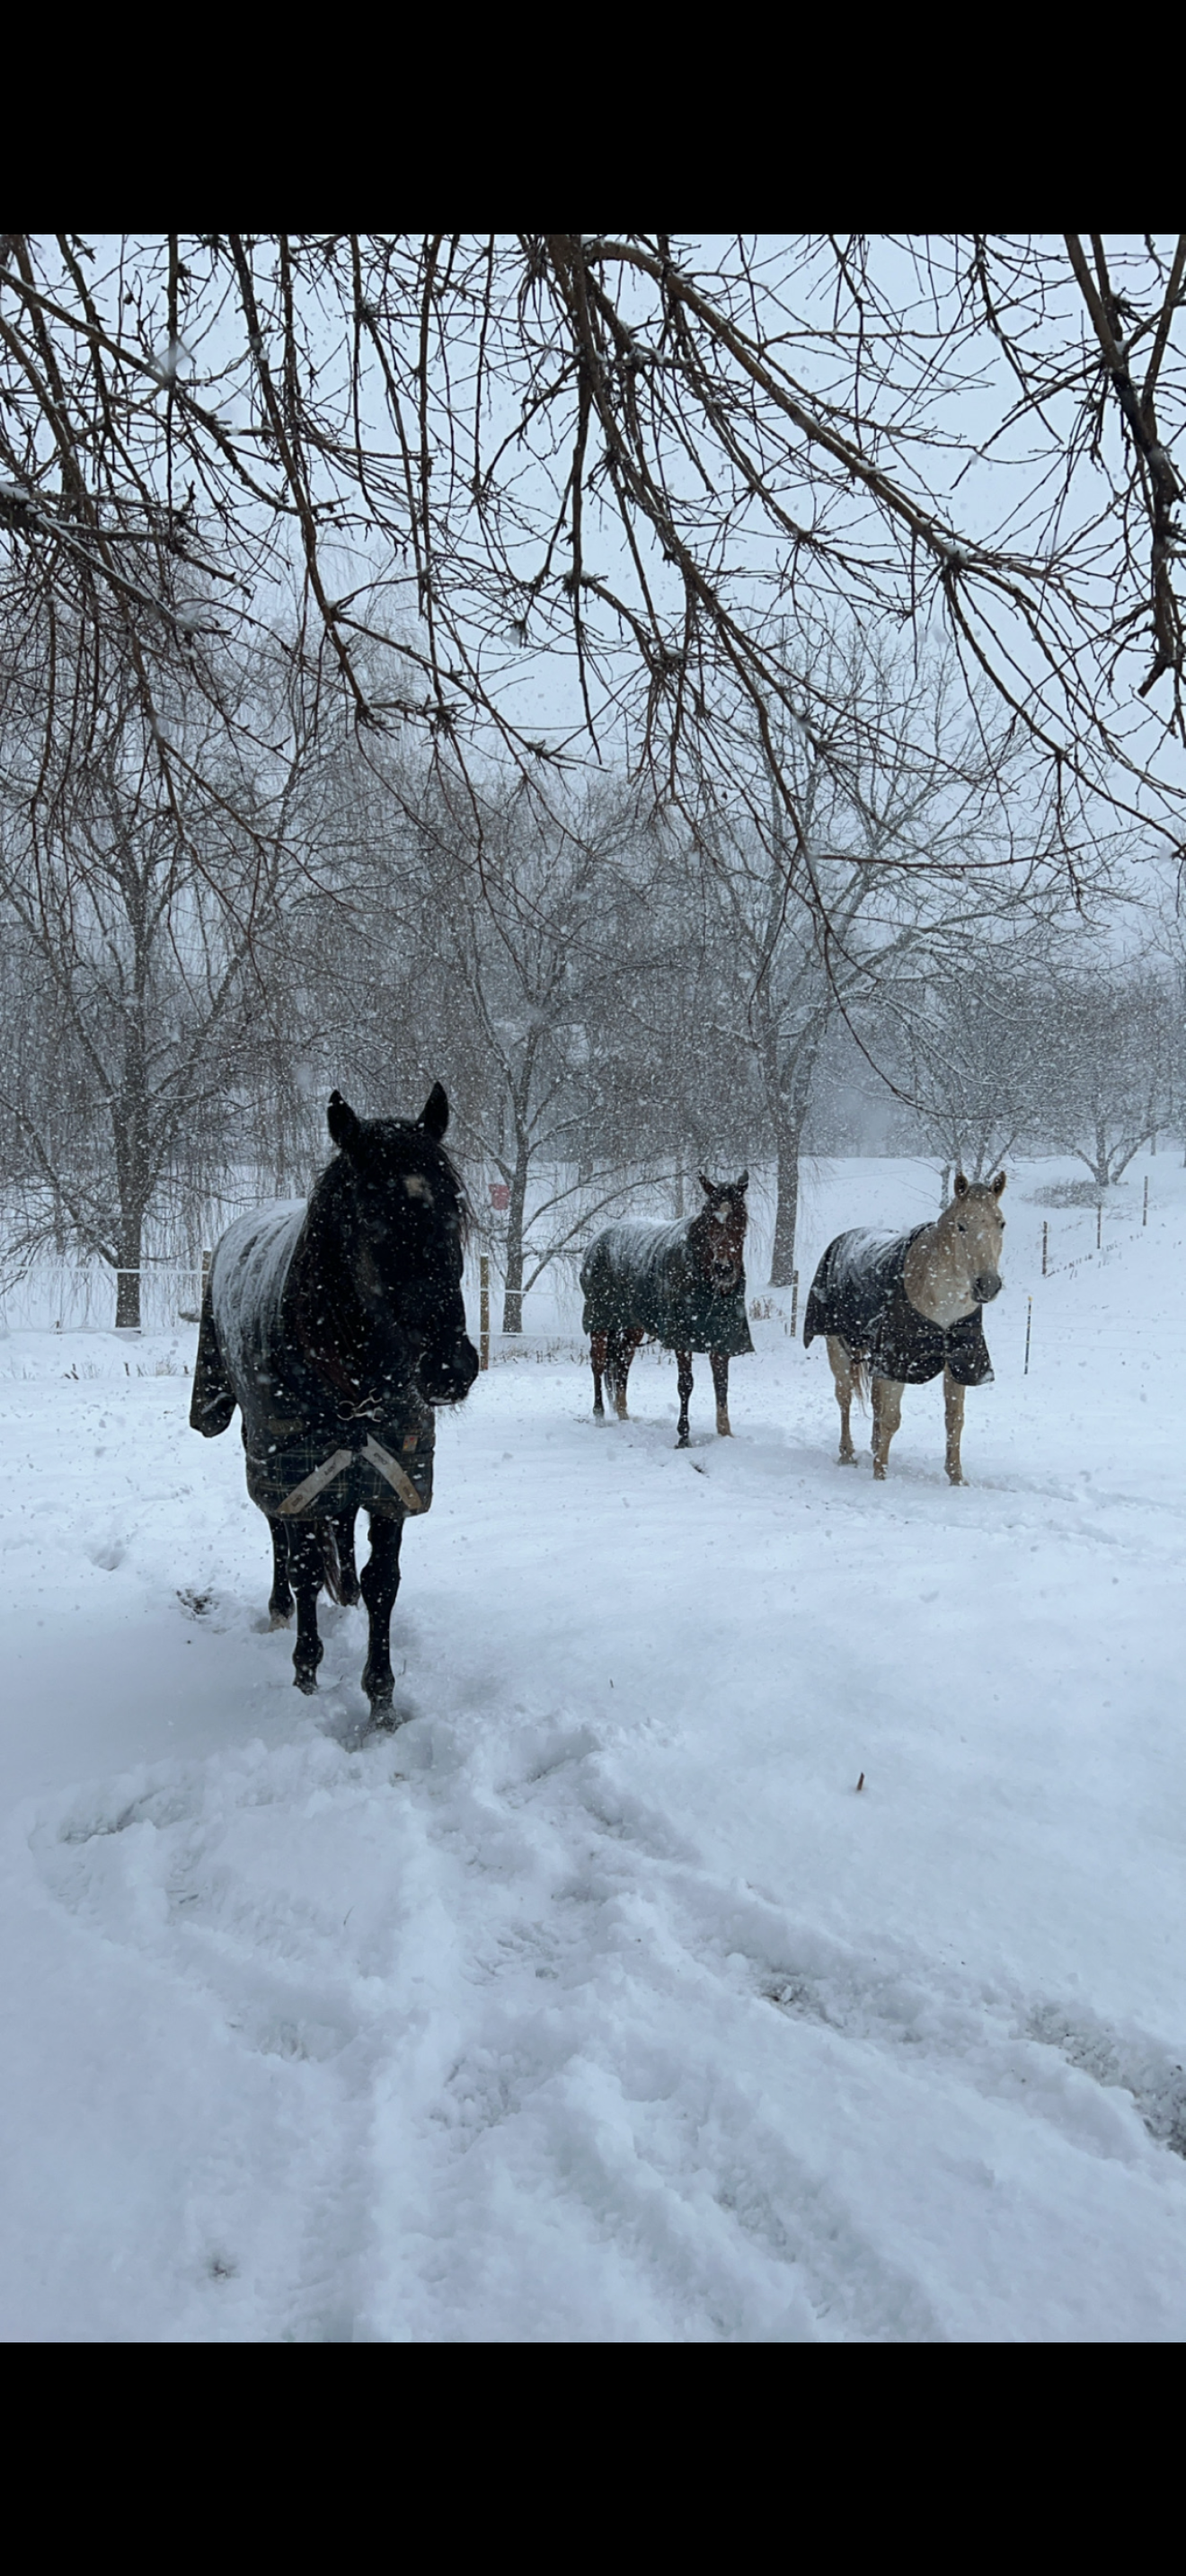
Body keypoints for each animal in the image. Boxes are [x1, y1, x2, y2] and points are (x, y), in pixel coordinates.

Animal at [190, 1085, 478, 1718]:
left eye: (453, 1208)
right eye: (371, 1216)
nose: (452, 1368)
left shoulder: (392, 1478)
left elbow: (382, 1581)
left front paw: (382, 1698)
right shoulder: (298, 1475)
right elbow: (302, 1564)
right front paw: (306, 1675)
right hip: (265, 1454)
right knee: (277, 1531)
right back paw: (280, 1610)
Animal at [580, 1174, 752, 1448]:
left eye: (741, 1217)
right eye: (710, 1219)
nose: (724, 1269)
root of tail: (596, 1239)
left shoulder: (722, 1338)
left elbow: (721, 1384)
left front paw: (725, 1435)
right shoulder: (681, 1338)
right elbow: (686, 1384)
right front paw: (683, 1437)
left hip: (632, 1326)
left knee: (623, 1362)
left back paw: (623, 1415)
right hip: (600, 1318)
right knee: (598, 1363)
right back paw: (599, 1416)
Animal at [802, 1172, 1006, 1483]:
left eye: (1001, 1223)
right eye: (961, 1225)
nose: (989, 1285)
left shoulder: (959, 1359)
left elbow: (954, 1419)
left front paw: (956, 1478)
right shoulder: (896, 1360)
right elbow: (891, 1418)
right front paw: (880, 1476)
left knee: (873, 1403)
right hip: (838, 1347)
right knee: (845, 1397)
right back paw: (847, 1454)